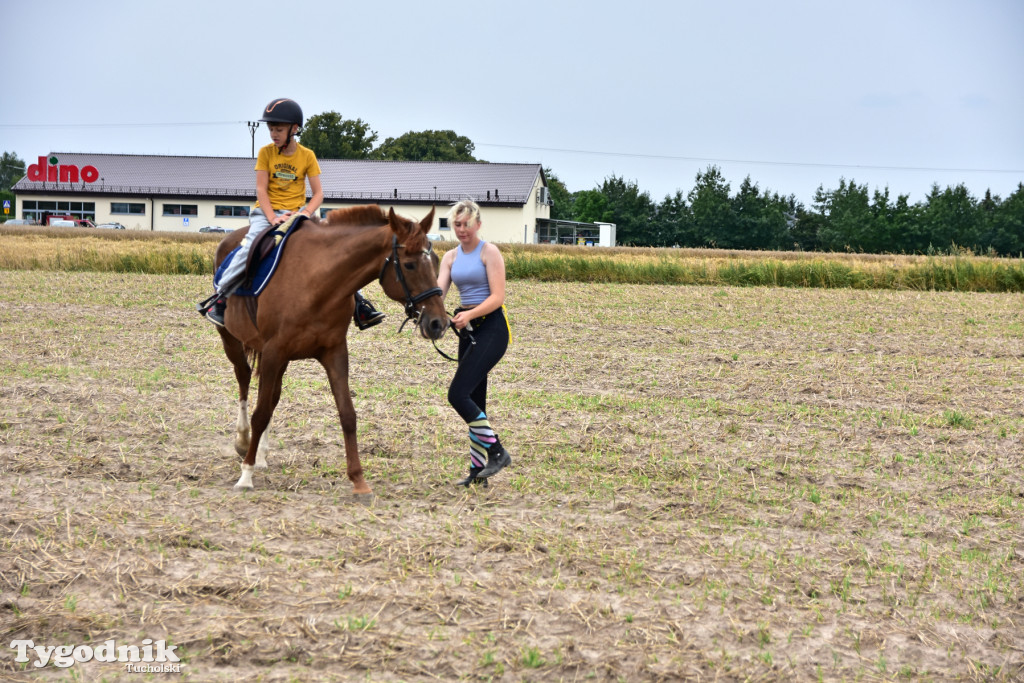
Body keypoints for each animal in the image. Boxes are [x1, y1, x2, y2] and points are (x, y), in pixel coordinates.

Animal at [209, 205, 446, 493]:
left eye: (436, 261)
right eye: (410, 265)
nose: (439, 323)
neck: (319, 282)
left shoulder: (333, 352)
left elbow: (347, 414)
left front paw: (358, 480)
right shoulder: (275, 350)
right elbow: (260, 413)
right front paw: (246, 475)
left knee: (272, 395)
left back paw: (262, 452)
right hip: (232, 340)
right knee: (244, 379)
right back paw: (244, 442)